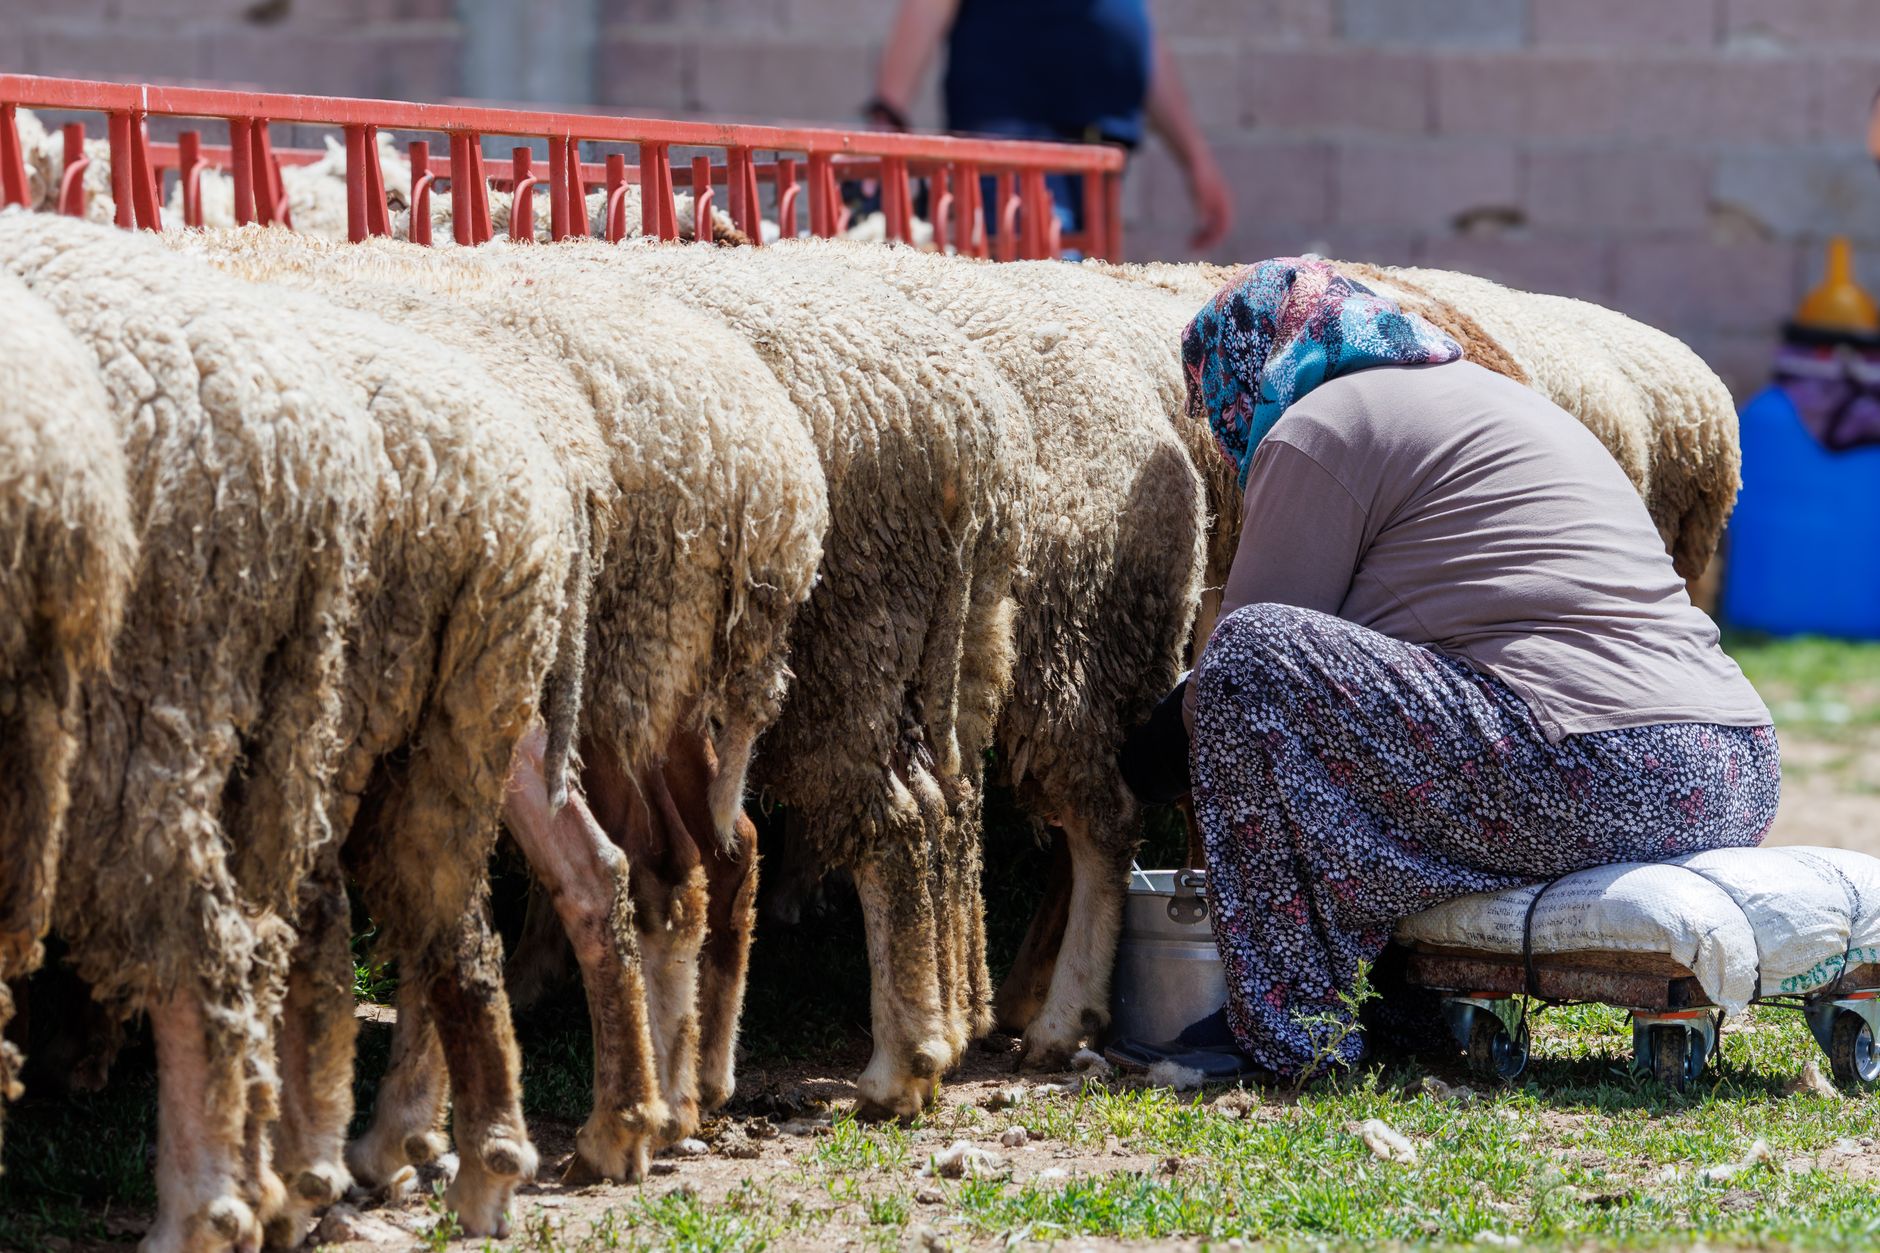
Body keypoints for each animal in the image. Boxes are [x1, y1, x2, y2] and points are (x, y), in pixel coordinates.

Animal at [0, 212, 382, 1253]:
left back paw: (200, 1212)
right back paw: (280, 1185)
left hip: (132, 710)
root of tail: (299, 449)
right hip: (286, 709)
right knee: (274, 938)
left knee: (199, 949)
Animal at [528, 238, 1035, 1119]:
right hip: (959, 642)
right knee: (950, 804)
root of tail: (964, 432)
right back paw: (959, 1016)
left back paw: (897, 1066)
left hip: (842, 651)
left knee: (894, 827)